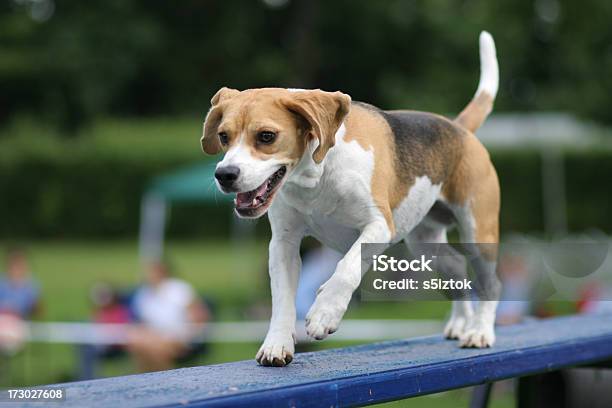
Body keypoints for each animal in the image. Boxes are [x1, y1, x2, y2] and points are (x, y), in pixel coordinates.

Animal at [203, 30, 500, 364]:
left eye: (266, 136)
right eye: (224, 136)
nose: (225, 174)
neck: (315, 175)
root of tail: (458, 128)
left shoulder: (378, 227)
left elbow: (347, 267)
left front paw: (324, 314)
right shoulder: (283, 244)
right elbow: (281, 299)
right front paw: (277, 344)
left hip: (478, 233)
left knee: (491, 282)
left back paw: (479, 331)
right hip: (425, 243)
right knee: (457, 267)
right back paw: (460, 323)